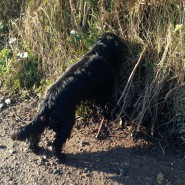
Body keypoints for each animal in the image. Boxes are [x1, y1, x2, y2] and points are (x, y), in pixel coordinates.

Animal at [10, 33, 123, 162]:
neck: (97, 52)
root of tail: (47, 104)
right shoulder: (104, 87)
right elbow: (103, 105)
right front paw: (107, 115)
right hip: (67, 123)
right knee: (56, 144)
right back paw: (60, 157)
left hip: (43, 121)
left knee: (34, 135)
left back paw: (34, 148)